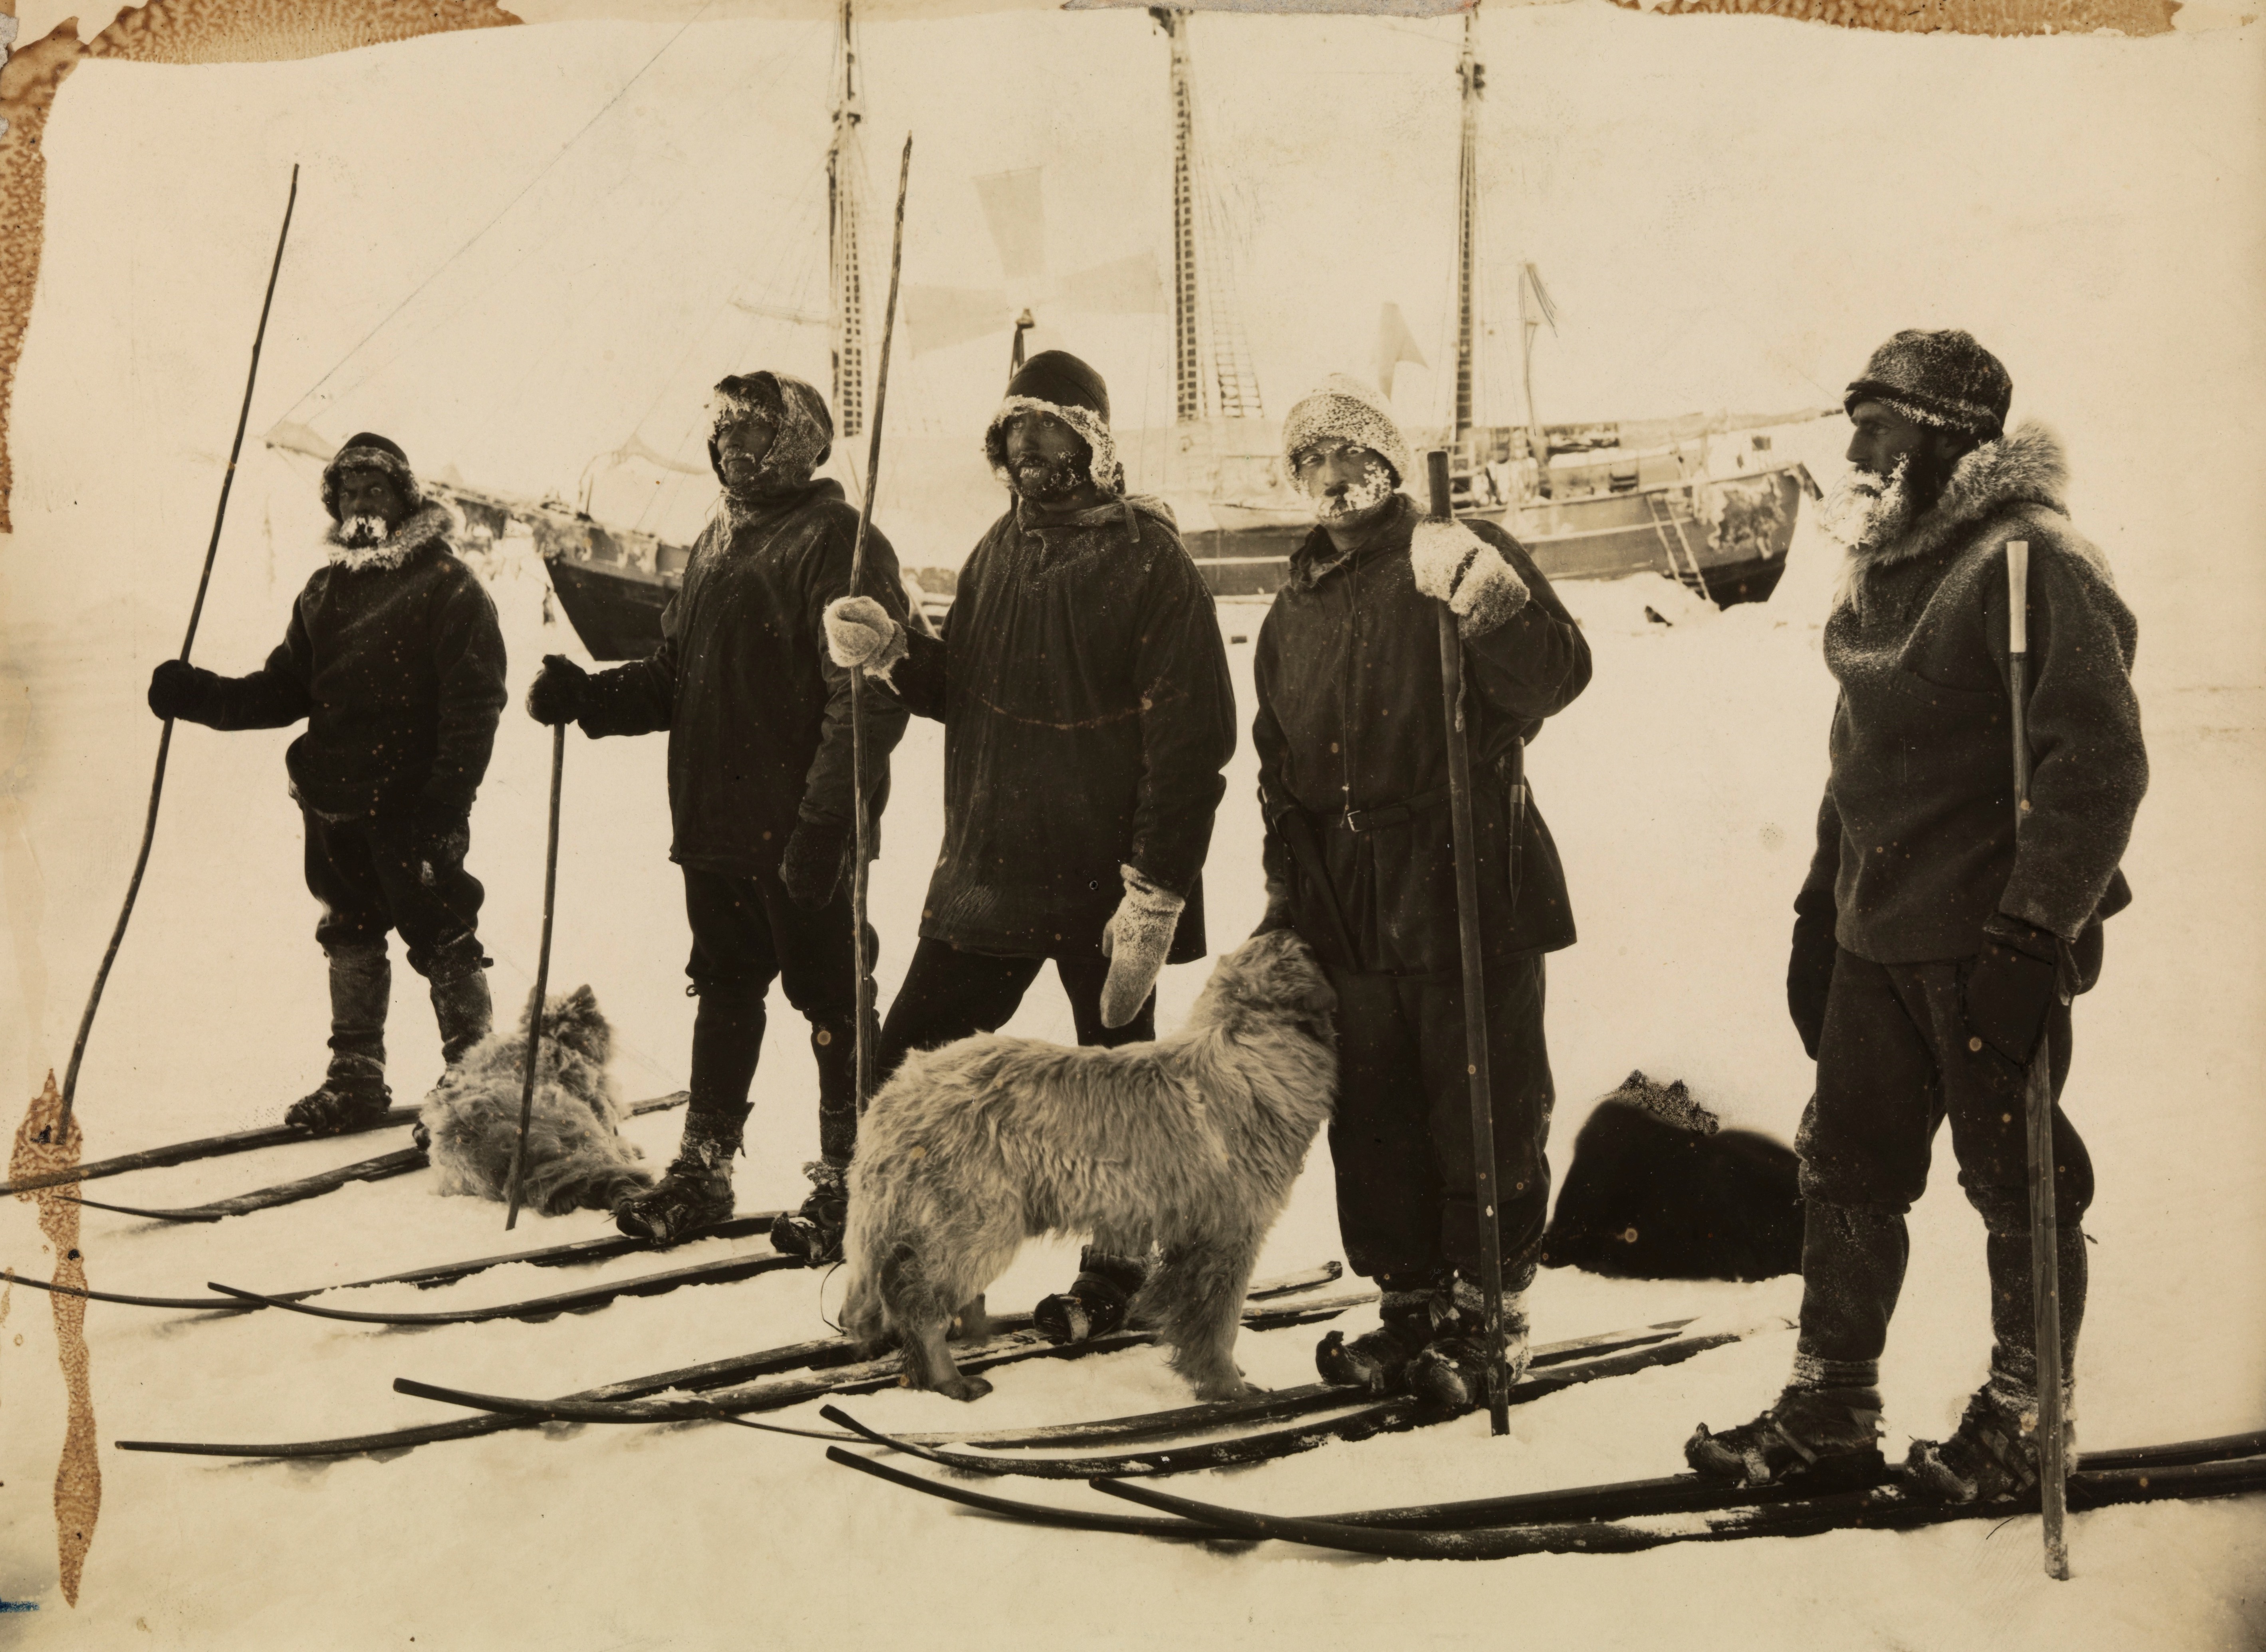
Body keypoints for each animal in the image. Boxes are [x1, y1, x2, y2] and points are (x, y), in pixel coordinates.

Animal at [838, 934, 1332, 1396]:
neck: (1246, 1042)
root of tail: (894, 1096)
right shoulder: (1230, 1235)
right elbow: (1219, 1324)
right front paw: (1229, 1388)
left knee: (901, 1285)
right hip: (979, 1224)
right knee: (918, 1300)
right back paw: (949, 1379)